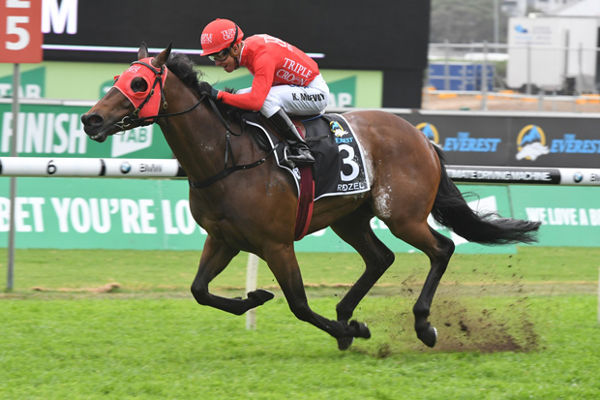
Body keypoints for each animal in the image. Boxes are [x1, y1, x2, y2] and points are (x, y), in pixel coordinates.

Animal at [81, 44, 540, 350]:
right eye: (117, 79)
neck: (227, 158)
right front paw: (255, 297)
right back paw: (345, 311)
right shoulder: (224, 238)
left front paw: (350, 332)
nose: (90, 119)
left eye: (138, 82)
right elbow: (199, 290)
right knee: (381, 258)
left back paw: (422, 325)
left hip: (402, 215)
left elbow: (299, 304)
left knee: (441, 249)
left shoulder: (276, 243)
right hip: (350, 217)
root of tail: (421, 137)